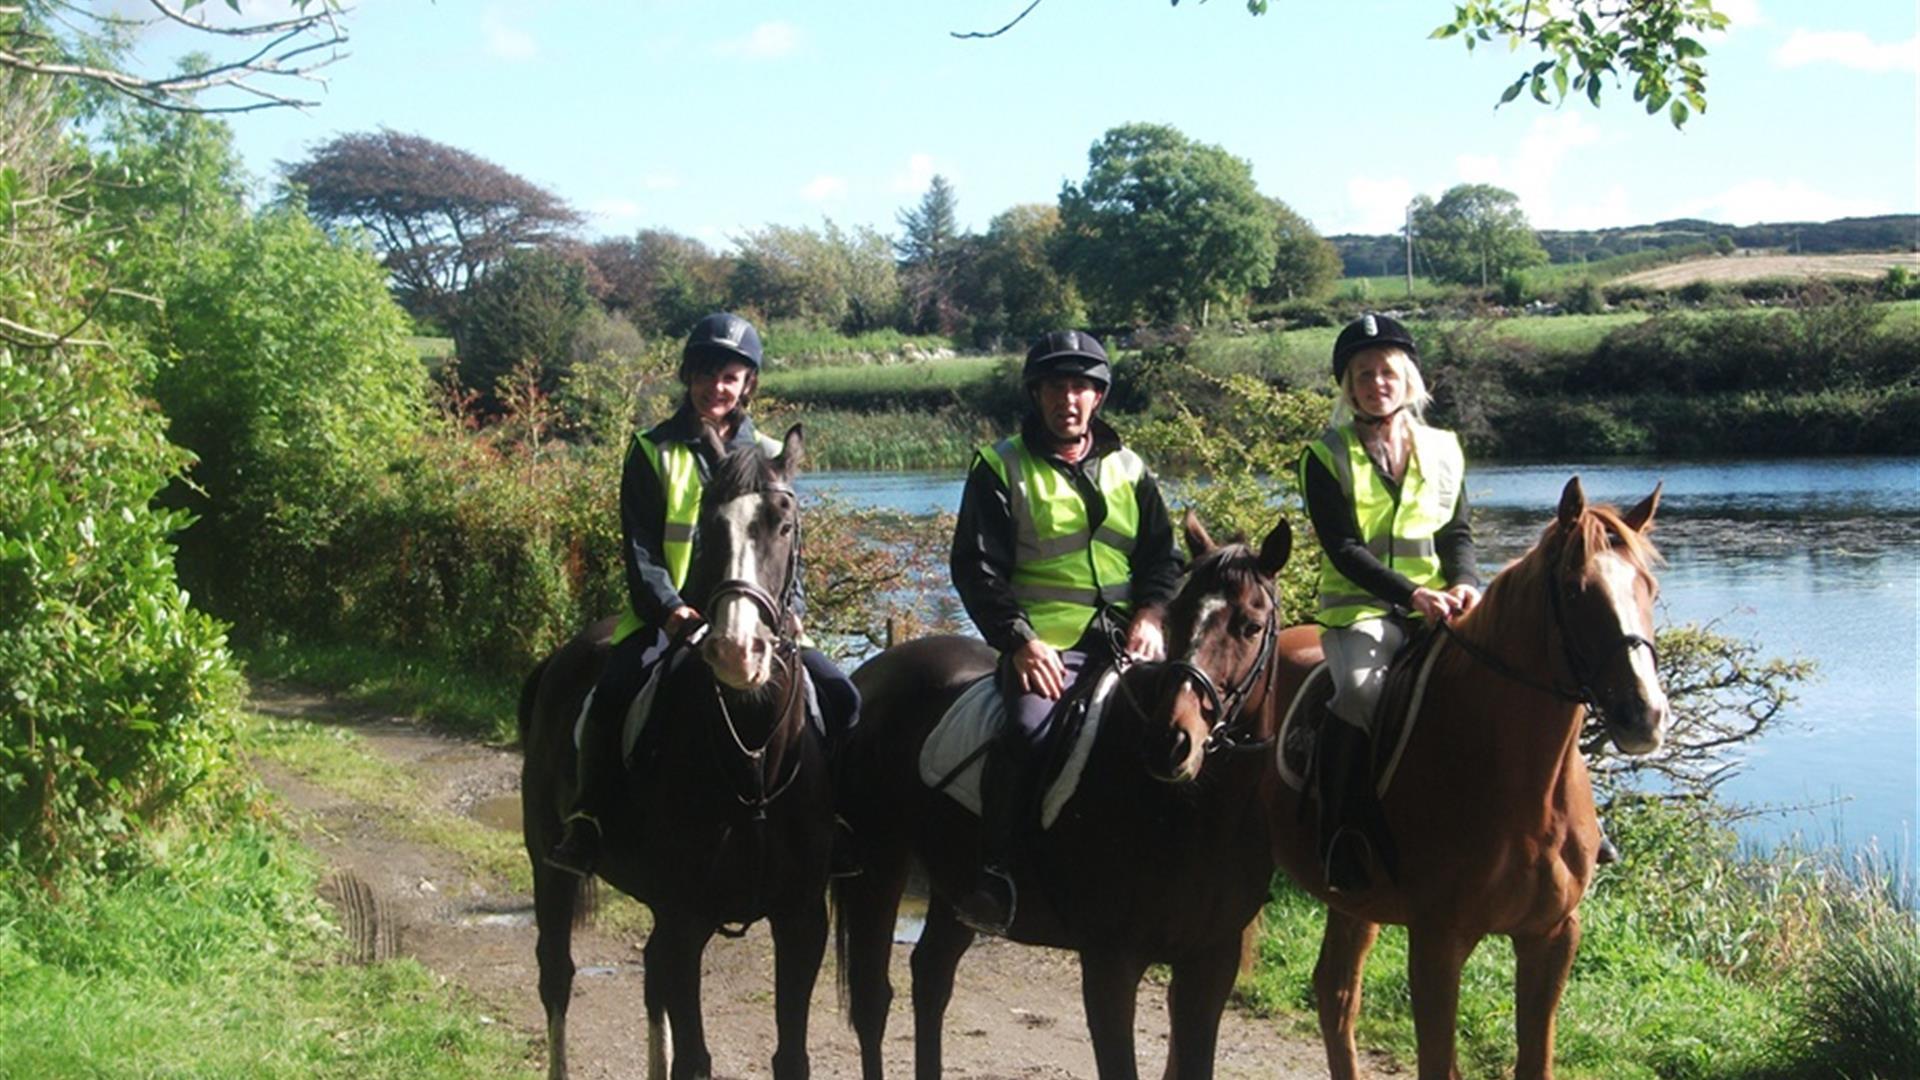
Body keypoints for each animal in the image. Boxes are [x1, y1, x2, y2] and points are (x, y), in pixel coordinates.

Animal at [522, 426, 829, 1076]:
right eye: (707, 527)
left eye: (785, 524)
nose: (738, 652)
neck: (752, 759)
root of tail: (558, 659)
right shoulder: (687, 922)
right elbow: (695, 1055)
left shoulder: (801, 921)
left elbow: (790, 1055)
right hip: (549, 867)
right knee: (556, 974)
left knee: (649, 976)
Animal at [829, 511, 1290, 1076]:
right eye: (1179, 619)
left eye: (1249, 626)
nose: (1171, 743)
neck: (1196, 815)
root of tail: (872, 676)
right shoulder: (1111, 963)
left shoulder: (1209, 965)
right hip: (877, 866)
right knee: (873, 1002)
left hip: (952, 885)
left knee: (931, 977)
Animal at [1259, 476, 1666, 1076]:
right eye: (1575, 591)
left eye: (1650, 588)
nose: (1645, 714)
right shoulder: (1437, 940)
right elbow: (1438, 1059)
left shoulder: (1551, 936)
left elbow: (1532, 1061)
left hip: (1352, 900)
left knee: (1335, 992)